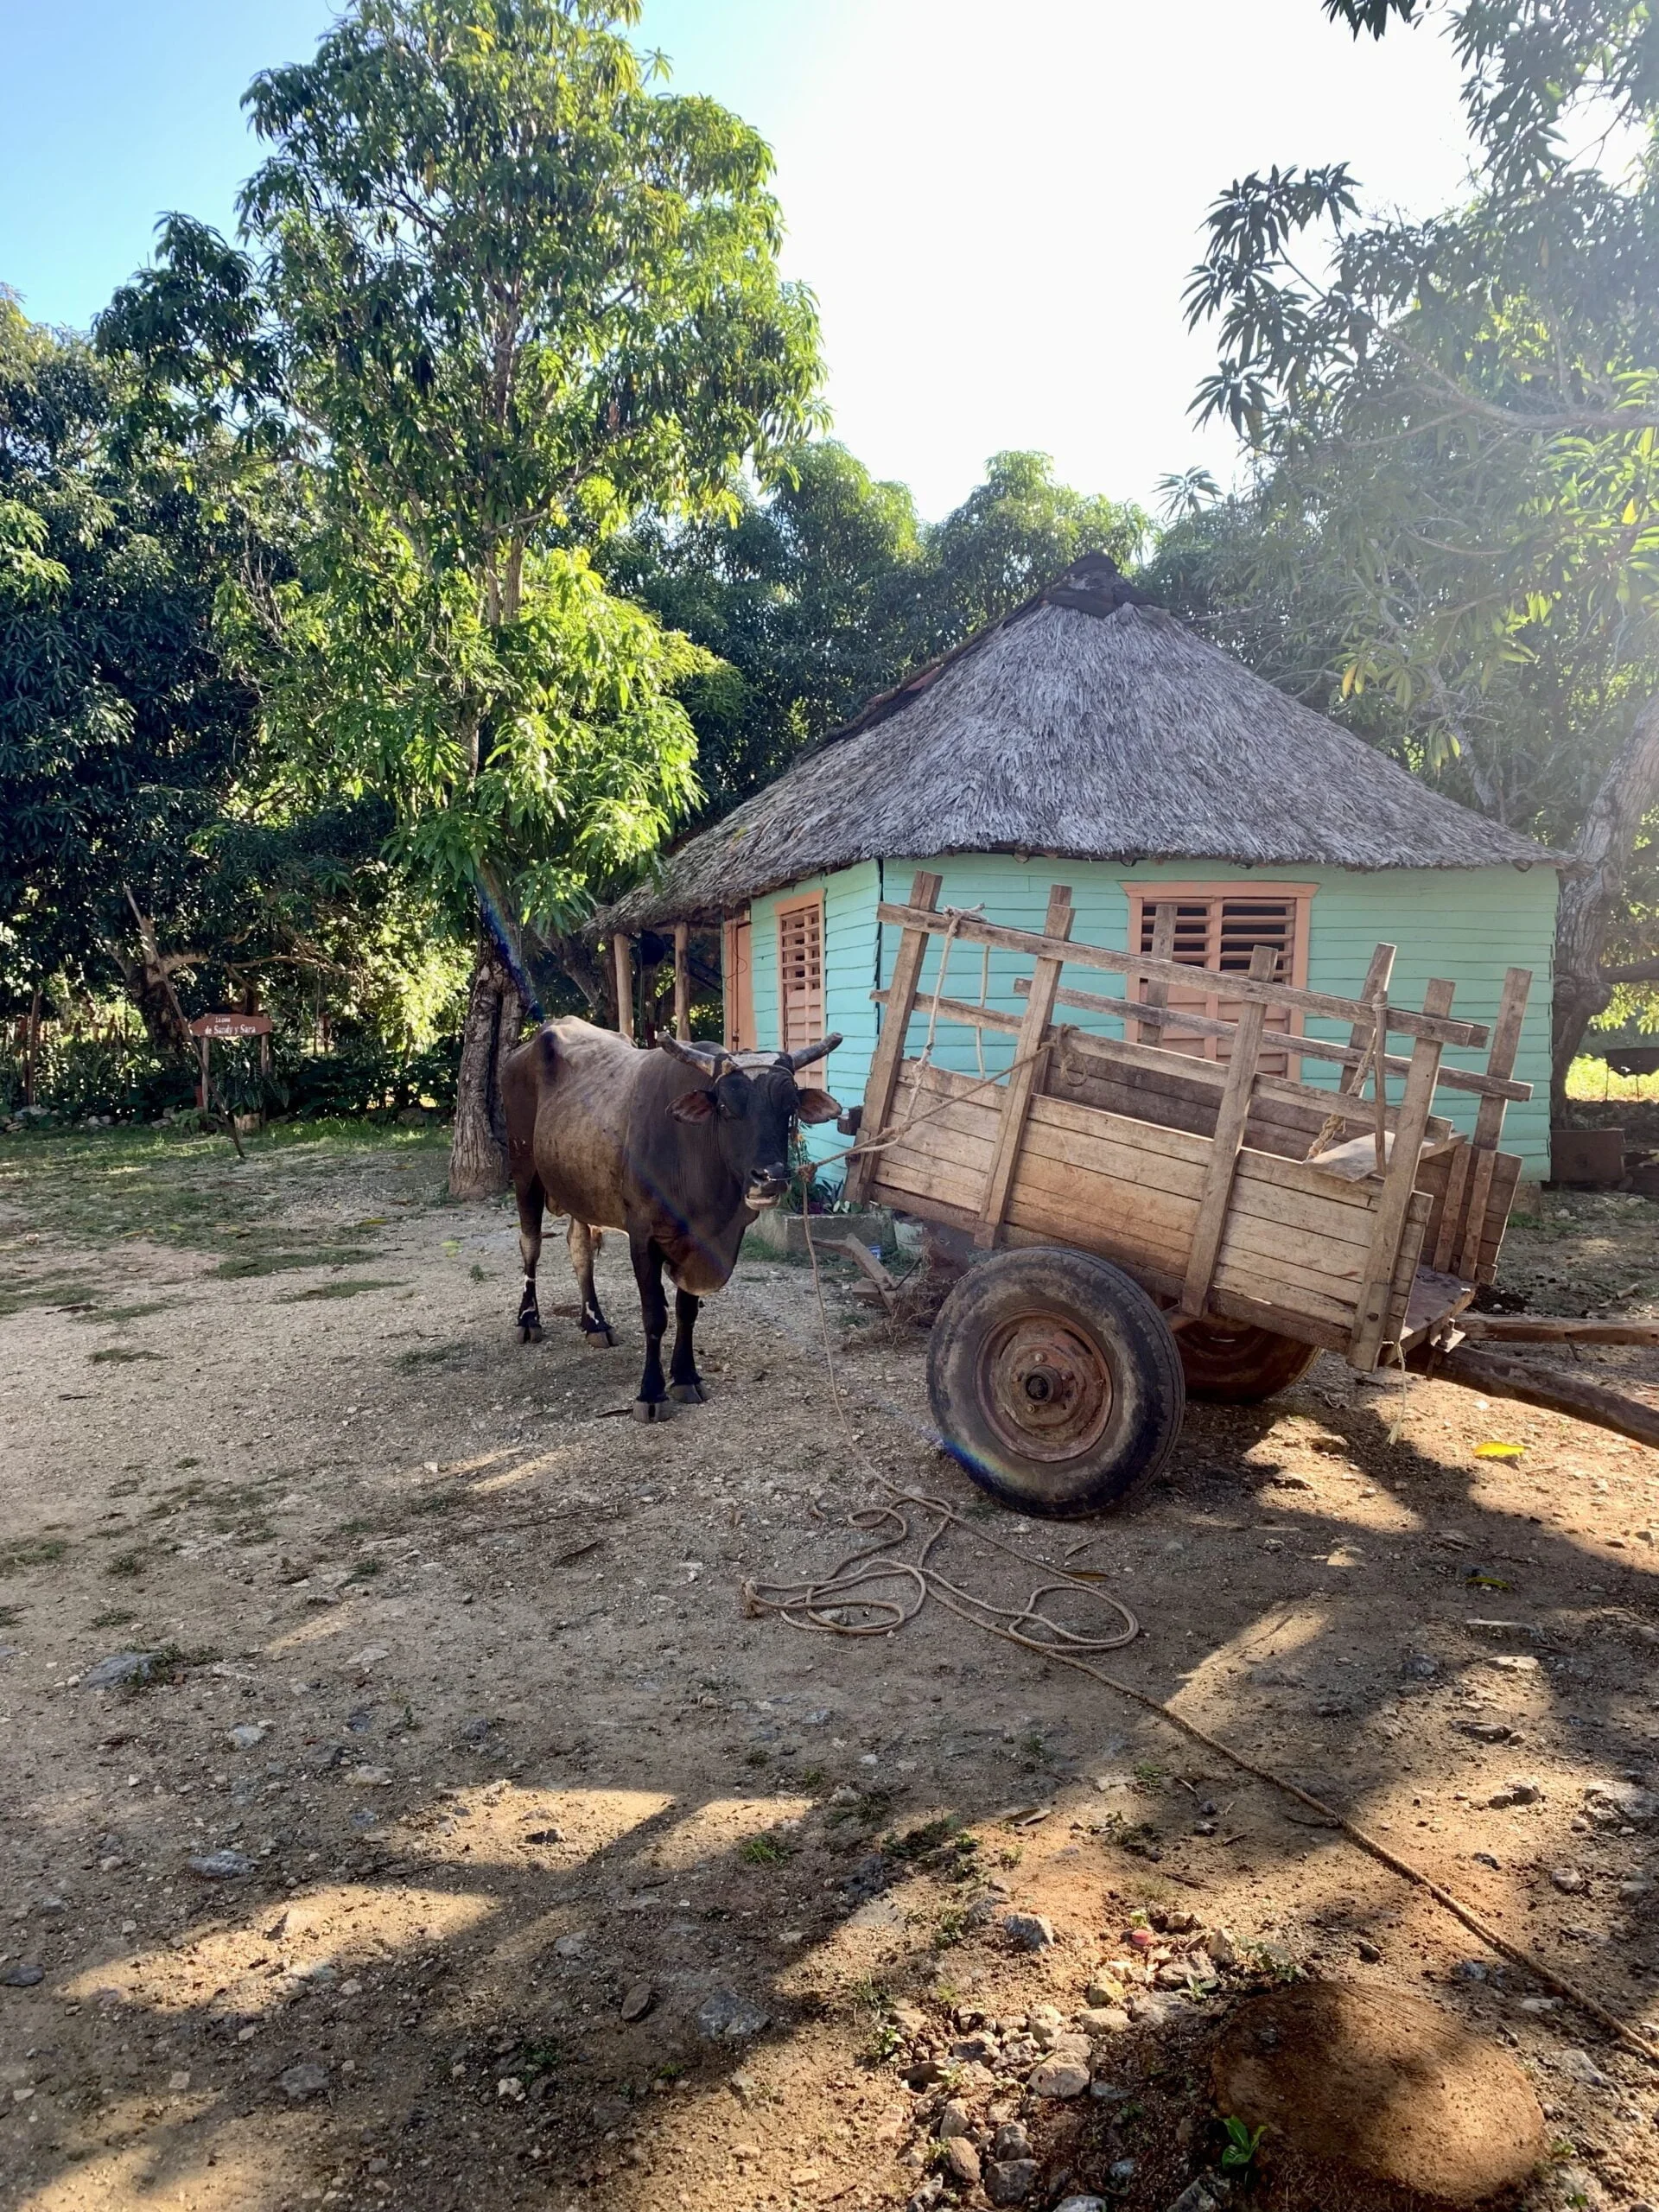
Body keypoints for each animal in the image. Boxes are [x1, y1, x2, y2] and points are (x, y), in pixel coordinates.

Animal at [501, 1021, 843, 1420]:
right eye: (724, 1107)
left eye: (790, 1107)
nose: (769, 1177)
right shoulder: (643, 1237)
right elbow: (654, 1315)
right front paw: (651, 1393)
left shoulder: (698, 1245)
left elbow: (686, 1311)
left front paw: (685, 1377)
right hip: (524, 1169)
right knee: (531, 1243)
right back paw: (528, 1319)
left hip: (579, 1189)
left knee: (579, 1246)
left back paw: (595, 1322)